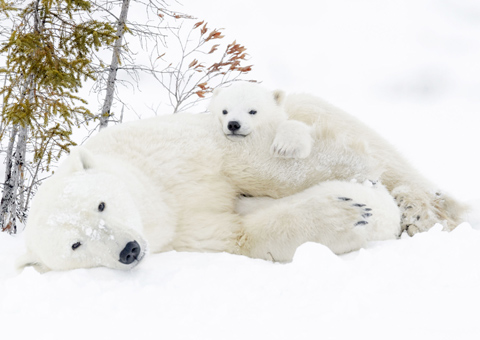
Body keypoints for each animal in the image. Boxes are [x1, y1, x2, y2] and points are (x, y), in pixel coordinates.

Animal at [18, 82, 464, 270]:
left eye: (101, 203)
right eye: (76, 244)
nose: (128, 249)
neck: (159, 200)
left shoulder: (168, 149)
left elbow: (250, 162)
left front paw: (359, 181)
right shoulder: (187, 234)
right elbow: (241, 237)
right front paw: (346, 213)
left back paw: (423, 209)